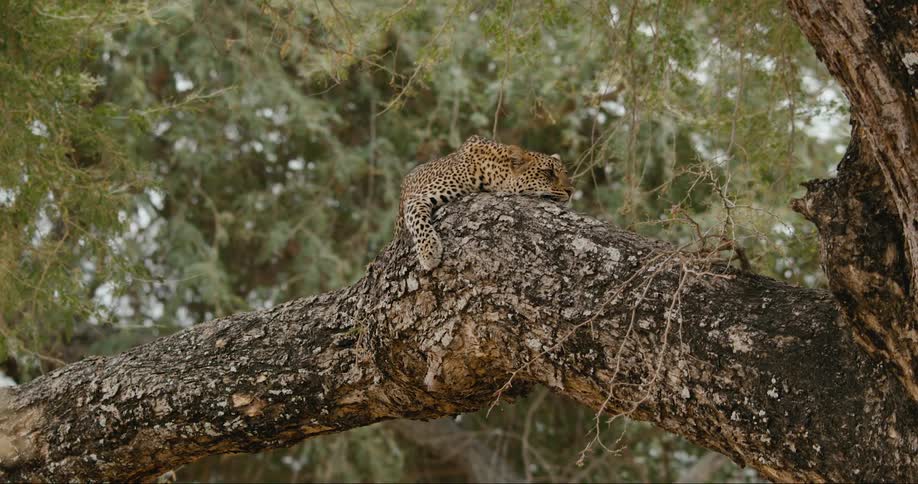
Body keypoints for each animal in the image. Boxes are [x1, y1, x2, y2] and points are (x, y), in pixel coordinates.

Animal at [393, 134, 574, 271]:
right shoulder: (418, 197)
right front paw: (429, 253)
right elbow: (419, 223)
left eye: (566, 173)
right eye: (549, 173)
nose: (571, 191)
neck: (494, 173)